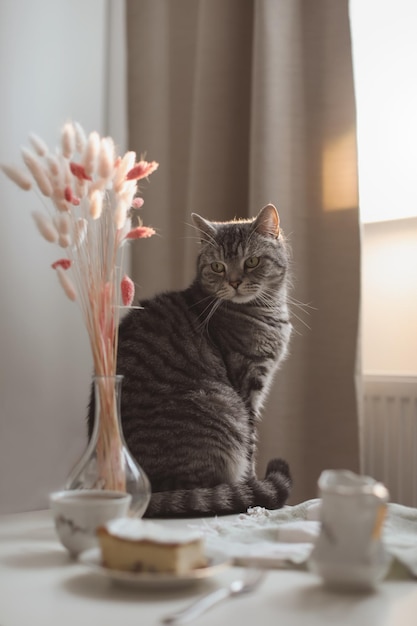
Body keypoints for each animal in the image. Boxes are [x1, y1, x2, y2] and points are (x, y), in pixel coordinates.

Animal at [87, 202, 290, 516]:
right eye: (217, 266)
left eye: (252, 262)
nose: (234, 282)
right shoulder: (247, 385)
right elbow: (251, 449)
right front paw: (253, 484)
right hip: (222, 406)